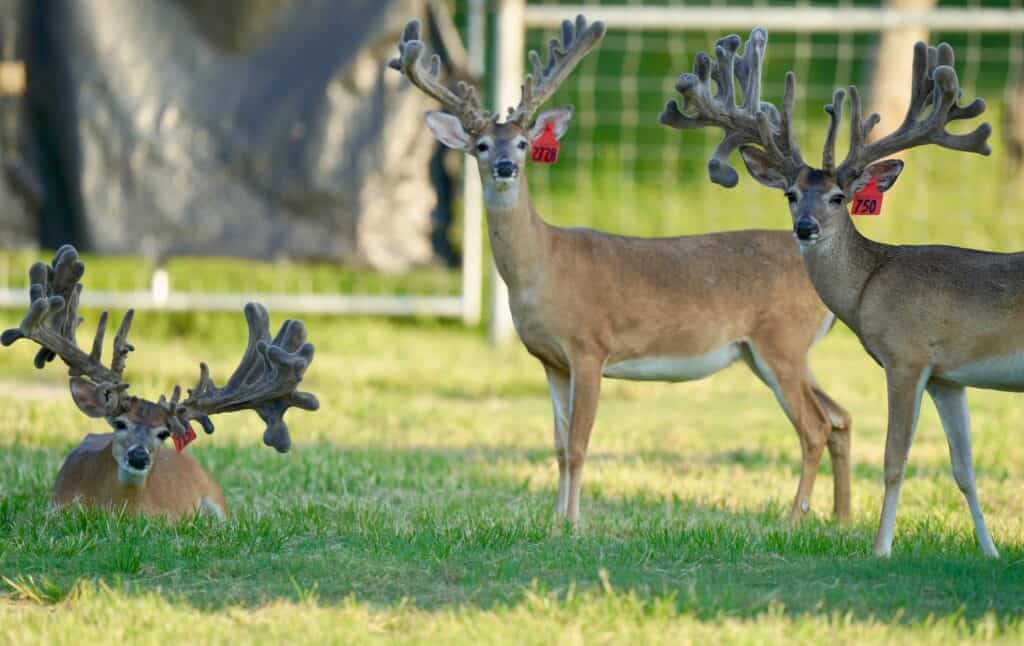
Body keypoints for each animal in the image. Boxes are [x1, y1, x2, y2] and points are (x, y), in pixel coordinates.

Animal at [389, 15, 852, 525]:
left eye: (525, 143)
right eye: (482, 145)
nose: (507, 165)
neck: (543, 266)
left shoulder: (590, 347)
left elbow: (578, 444)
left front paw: (572, 524)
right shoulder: (550, 360)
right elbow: (557, 446)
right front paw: (555, 520)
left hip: (782, 342)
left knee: (814, 426)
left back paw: (795, 517)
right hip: (768, 352)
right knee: (839, 416)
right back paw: (840, 517)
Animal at [661, 28, 1006, 556]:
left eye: (839, 197)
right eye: (790, 194)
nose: (805, 227)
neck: (873, 281)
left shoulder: (907, 356)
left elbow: (894, 458)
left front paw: (880, 549)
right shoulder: (949, 376)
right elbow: (963, 466)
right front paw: (989, 551)